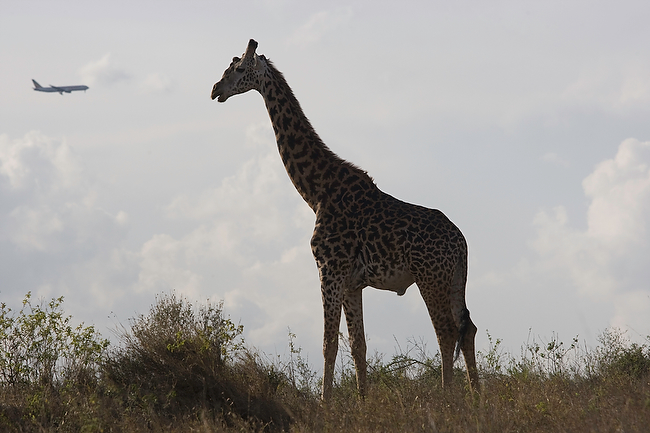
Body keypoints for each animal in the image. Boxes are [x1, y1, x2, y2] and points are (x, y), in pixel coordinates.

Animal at [211, 39, 476, 398]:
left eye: (239, 68)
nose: (215, 90)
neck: (317, 191)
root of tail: (461, 243)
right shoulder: (353, 283)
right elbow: (357, 345)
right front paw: (363, 402)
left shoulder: (329, 270)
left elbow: (328, 344)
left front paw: (326, 403)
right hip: (454, 279)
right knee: (467, 327)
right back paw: (477, 398)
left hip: (430, 277)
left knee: (446, 331)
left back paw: (448, 400)